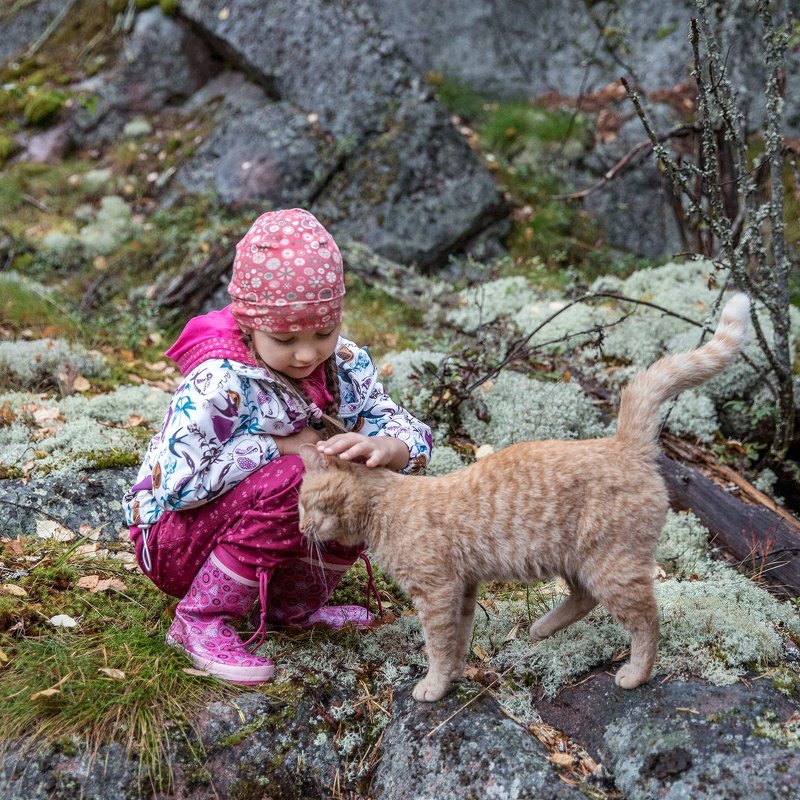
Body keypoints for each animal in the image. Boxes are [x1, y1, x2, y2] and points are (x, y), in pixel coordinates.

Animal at [298, 294, 752, 700]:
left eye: (304, 503)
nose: (301, 527)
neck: (386, 508)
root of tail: (623, 444)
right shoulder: (463, 590)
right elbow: (459, 640)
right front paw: (455, 675)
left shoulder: (437, 593)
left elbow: (438, 645)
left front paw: (433, 685)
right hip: (579, 560)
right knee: (585, 598)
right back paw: (541, 629)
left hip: (613, 564)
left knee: (647, 619)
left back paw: (634, 674)